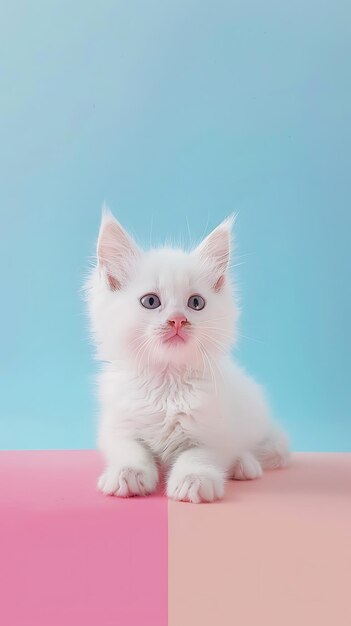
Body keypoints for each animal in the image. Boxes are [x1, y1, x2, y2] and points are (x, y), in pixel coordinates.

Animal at [86, 210, 290, 502]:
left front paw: (194, 479)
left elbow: (197, 455)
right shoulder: (117, 426)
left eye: (196, 303)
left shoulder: (215, 433)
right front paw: (128, 473)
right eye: (150, 301)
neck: (166, 383)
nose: (178, 320)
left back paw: (244, 465)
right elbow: (131, 449)